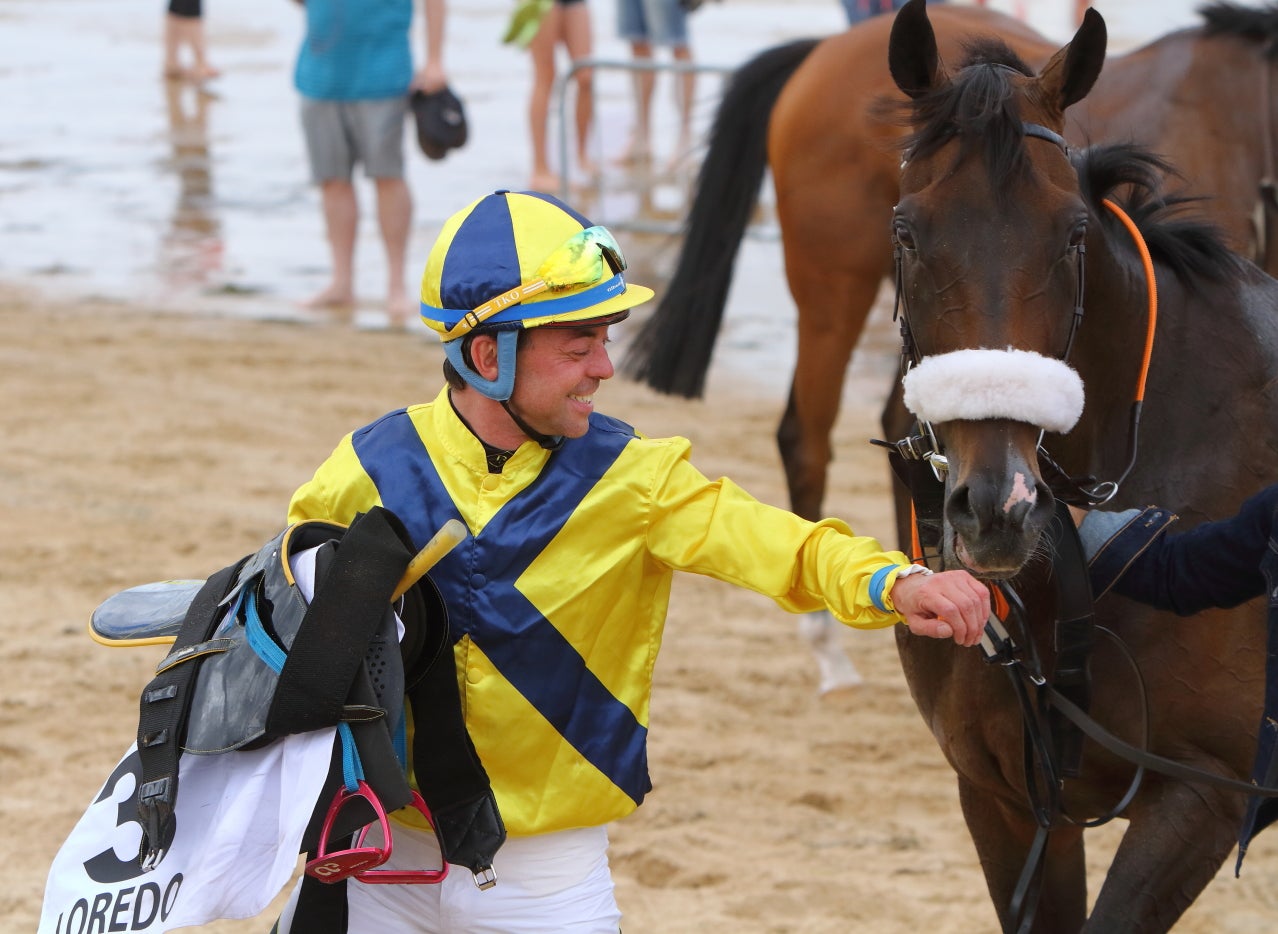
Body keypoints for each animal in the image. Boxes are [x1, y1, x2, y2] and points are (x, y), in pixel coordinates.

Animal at [623, 0, 1278, 526]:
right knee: (805, 440)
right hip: (831, 285)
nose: (996, 498)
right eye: (905, 231)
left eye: (1076, 233)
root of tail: (823, 50)